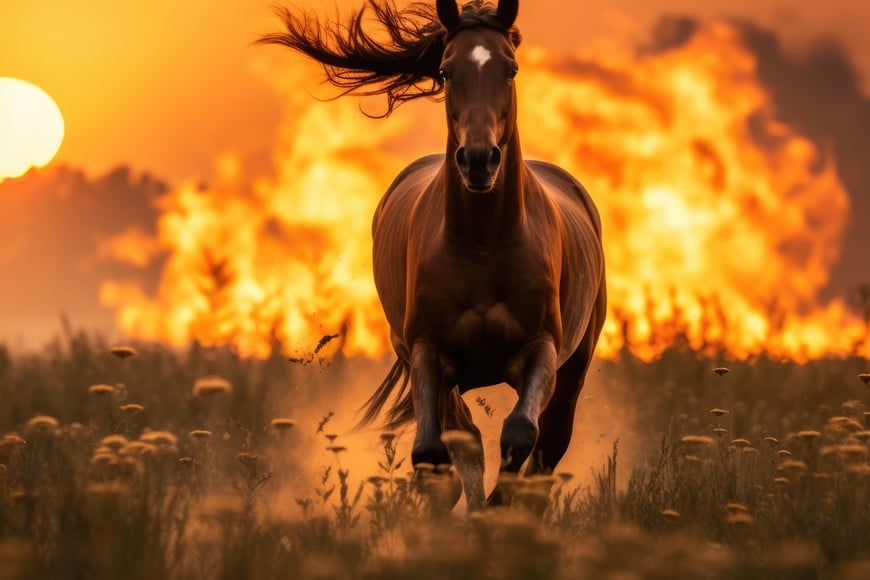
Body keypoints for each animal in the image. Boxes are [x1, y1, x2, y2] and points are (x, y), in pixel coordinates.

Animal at [261, 0, 607, 510]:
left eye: (511, 68)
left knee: (546, 451)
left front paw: (498, 510)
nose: (479, 159)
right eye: (446, 70)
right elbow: (434, 454)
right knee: (466, 444)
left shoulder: (541, 347)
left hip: (573, 370)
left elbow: (519, 435)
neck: (483, 245)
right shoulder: (428, 352)